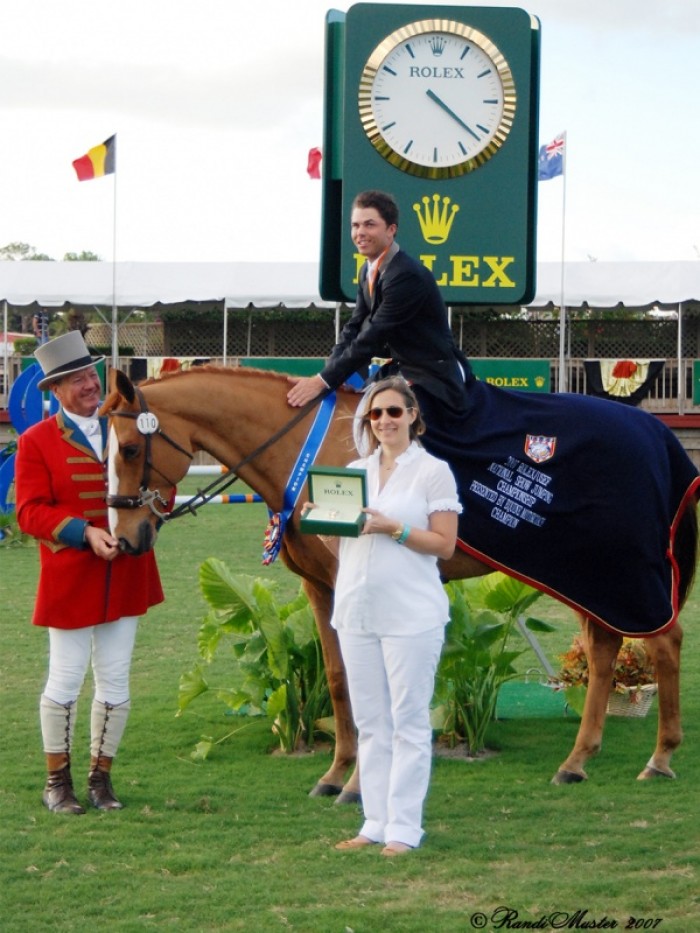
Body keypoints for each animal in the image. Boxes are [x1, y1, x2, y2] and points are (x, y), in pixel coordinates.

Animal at [101, 368, 696, 792]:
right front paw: (337, 772)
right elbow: (339, 679)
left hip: (622, 577)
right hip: (590, 578)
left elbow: (369, 680)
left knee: (663, 641)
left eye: (129, 448)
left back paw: (661, 756)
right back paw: (578, 760)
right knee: (605, 650)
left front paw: (358, 782)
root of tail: (656, 433)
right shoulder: (321, 588)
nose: (125, 537)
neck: (306, 449)